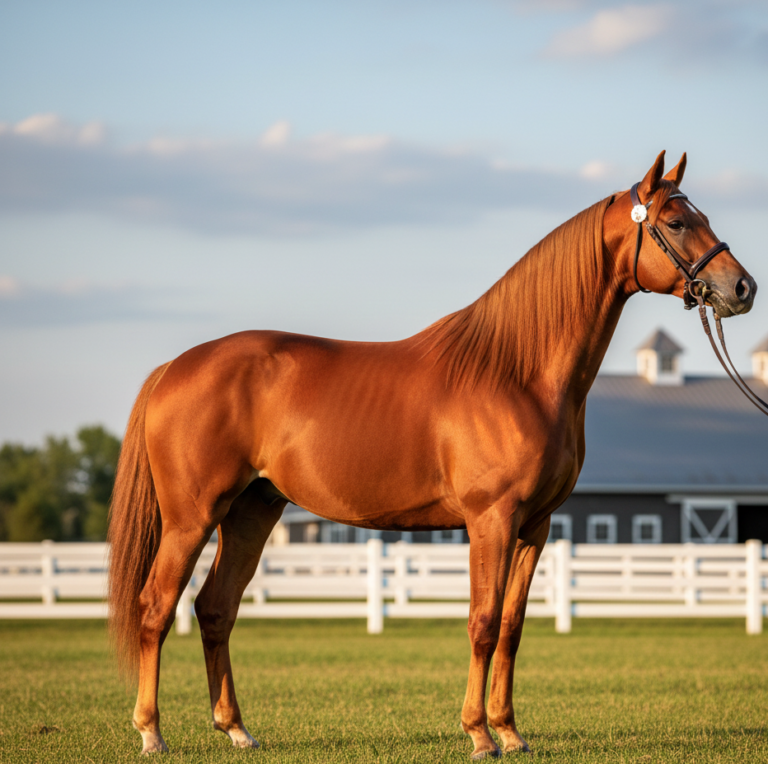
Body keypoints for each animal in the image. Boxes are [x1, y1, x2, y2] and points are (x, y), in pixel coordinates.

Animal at [108, 151, 756, 758]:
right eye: (676, 222)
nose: (742, 288)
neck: (517, 373)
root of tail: (175, 367)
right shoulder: (491, 520)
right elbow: (483, 623)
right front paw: (479, 735)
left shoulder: (535, 526)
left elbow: (513, 627)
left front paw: (510, 732)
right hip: (192, 517)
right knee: (156, 607)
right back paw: (151, 732)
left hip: (251, 511)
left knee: (215, 609)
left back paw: (237, 730)